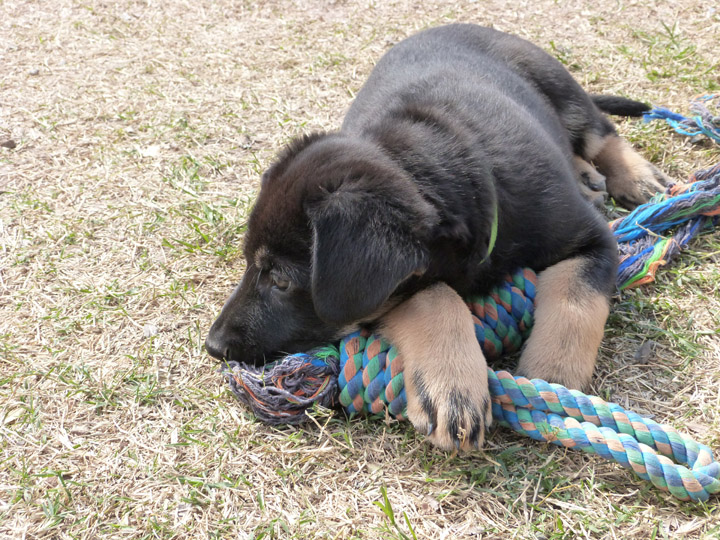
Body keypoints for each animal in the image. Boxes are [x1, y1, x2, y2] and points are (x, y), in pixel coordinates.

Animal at [205, 22, 668, 452]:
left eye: (281, 280)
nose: (213, 346)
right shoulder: (397, 288)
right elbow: (434, 296)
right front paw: (452, 386)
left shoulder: (594, 239)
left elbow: (576, 296)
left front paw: (553, 376)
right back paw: (589, 176)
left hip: (560, 86)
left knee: (600, 130)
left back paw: (633, 176)